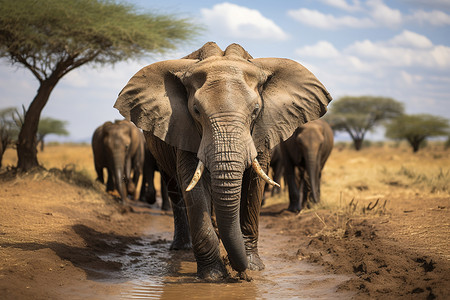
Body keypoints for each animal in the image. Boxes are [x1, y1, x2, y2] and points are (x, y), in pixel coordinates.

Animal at [112, 41, 330, 280]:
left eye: (256, 110)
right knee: (175, 188)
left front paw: (253, 266)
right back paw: (182, 247)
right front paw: (213, 275)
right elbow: (193, 184)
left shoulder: (263, 130)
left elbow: (254, 184)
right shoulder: (183, 128)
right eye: (196, 110)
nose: (240, 272)